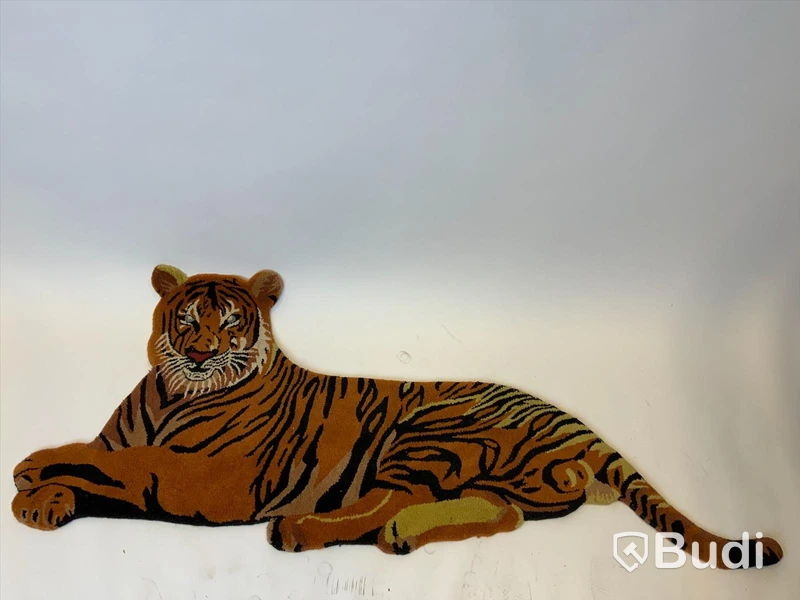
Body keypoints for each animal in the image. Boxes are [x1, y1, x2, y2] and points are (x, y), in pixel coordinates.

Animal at [11, 265, 783, 568]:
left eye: (230, 322)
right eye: (186, 318)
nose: (200, 354)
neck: (174, 392)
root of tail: (571, 419)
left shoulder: (205, 479)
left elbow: (116, 460)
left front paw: (32, 471)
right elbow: (103, 460)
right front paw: (42, 504)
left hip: (428, 428)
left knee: (384, 501)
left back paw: (306, 529)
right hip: (477, 472)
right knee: (499, 514)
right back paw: (402, 536)